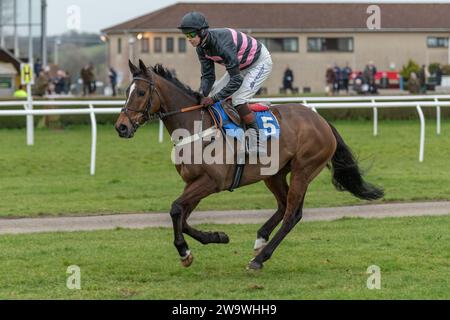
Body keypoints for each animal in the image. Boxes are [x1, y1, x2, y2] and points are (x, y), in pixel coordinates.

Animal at [114, 60, 382, 270]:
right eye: (126, 90)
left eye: (140, 93)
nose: (121, 127)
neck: (195, 126)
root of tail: (321, 121)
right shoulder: (193, 183)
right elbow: (183, 216)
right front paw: (217, 237)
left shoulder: (211, 182)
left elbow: (176, 209)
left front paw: (184, 251)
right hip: (273, 173)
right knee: (284, 205)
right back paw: (261, 239)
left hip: (303, 170)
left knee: (292, 215)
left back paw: (260, 258)